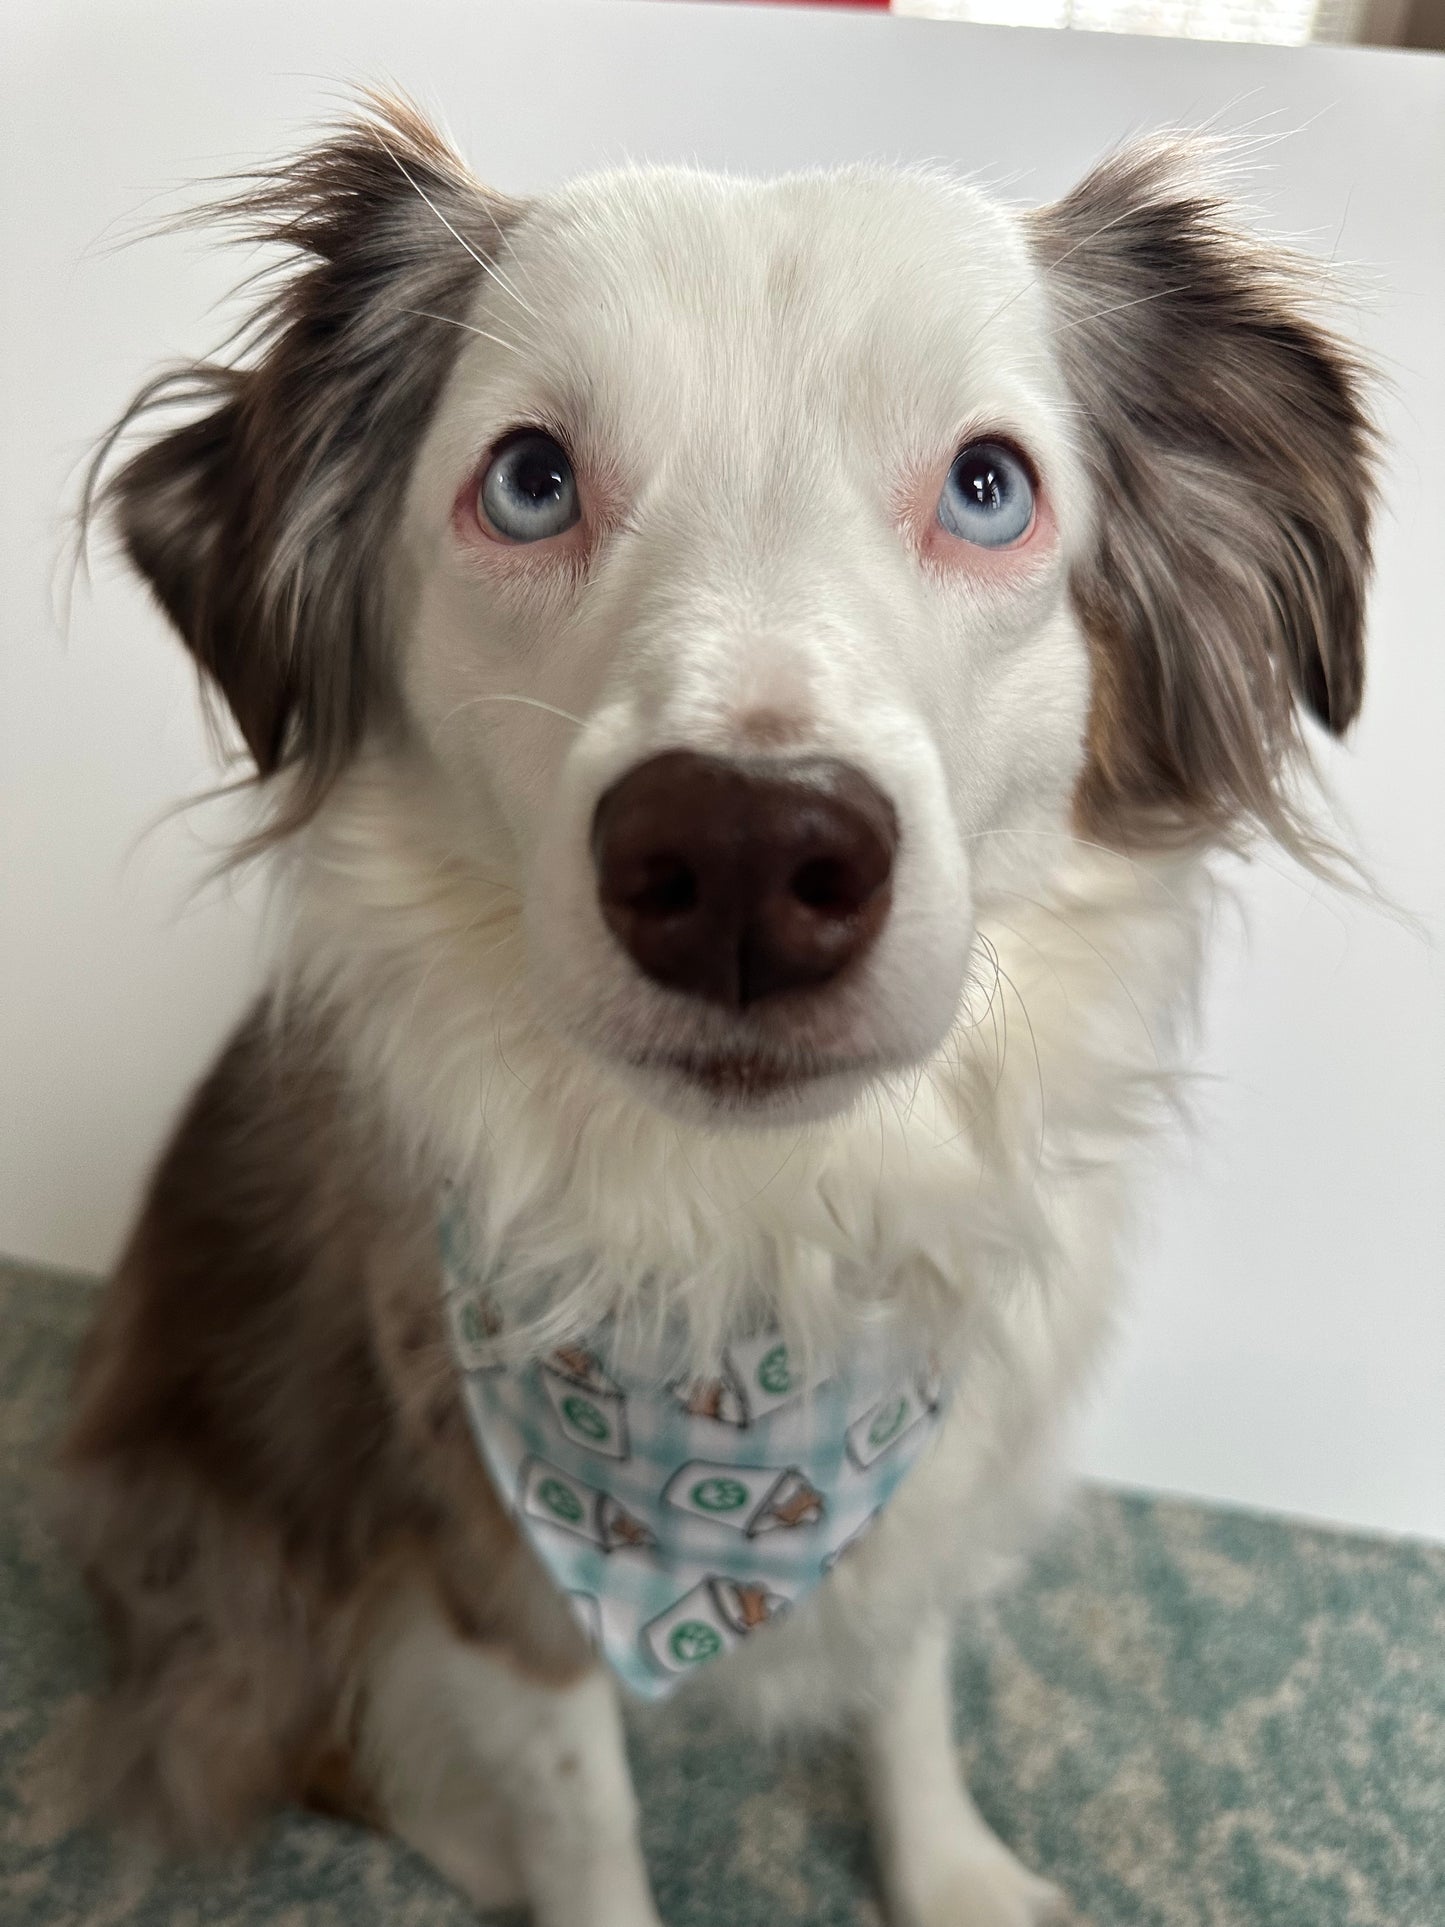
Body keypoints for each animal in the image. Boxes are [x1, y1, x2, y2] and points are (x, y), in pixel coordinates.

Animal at [59, 93, 1379, 1927]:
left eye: (988, 486)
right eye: (530, 479)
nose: (749, 856)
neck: (762, 1236)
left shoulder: (929, 1456)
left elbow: (904, 1676)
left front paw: (948, 1867)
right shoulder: (488, 1548)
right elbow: (583, 1811)